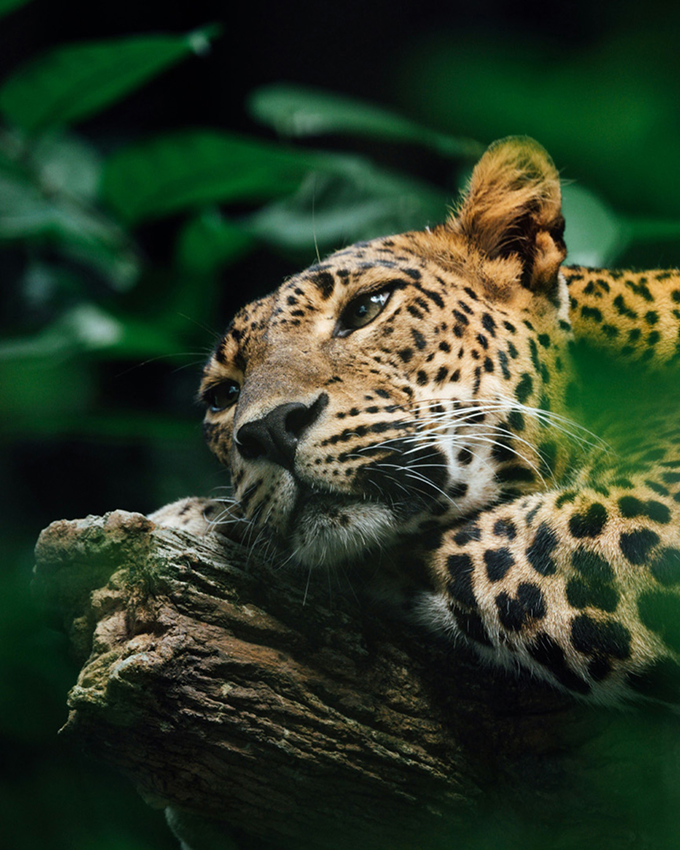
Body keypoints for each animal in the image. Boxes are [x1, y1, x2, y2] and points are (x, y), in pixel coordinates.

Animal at [151, 136, 680, 708]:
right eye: (223, 396)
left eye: (367, 308)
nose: (267, 430)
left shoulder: (634, 522)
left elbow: (431, 547)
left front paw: (197, 517)